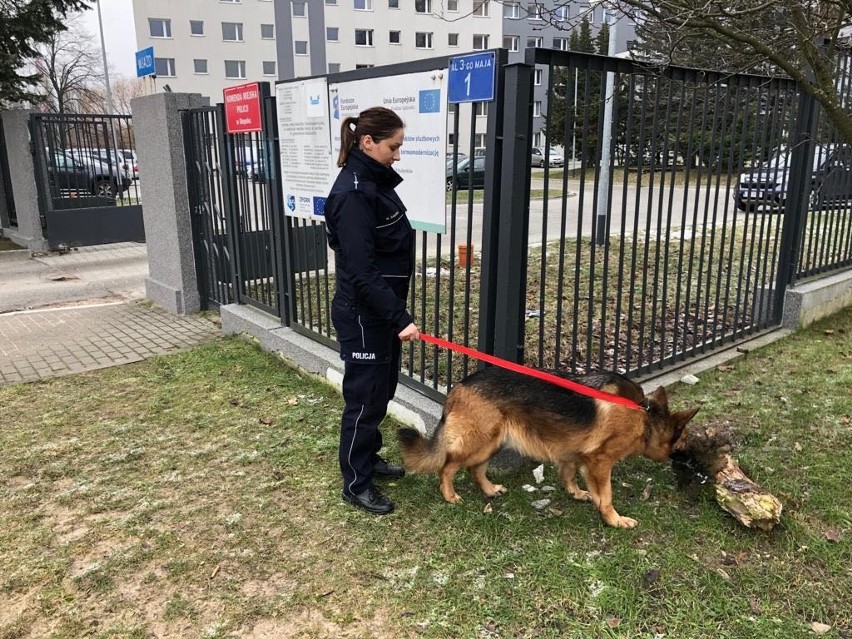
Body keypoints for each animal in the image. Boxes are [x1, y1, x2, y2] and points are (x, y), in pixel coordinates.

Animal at [400, 368, 700, 528]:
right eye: (685, 440)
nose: (691, 464)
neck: (645, 416)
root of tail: (459, 386)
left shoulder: (573, 454)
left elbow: (568, 474)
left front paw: (576, 493)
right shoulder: (600, 461)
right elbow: (606, 496)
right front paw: (614, 520)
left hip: (493, 442)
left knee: (475, 469)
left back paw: (489, 490)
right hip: (480, 441)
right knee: (447, 466)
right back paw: (449, 495)